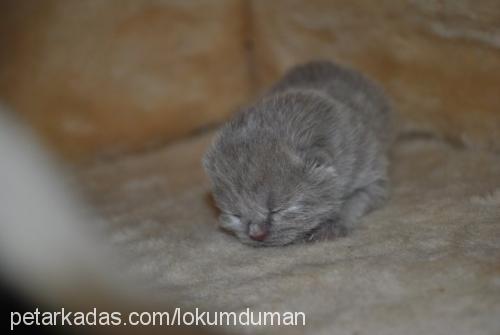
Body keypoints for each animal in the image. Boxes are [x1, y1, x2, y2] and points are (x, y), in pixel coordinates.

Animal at [201, 61, 392, 248]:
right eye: (236, 214)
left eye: (277, 209)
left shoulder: (371, 172)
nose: (256, 234)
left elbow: (356, 199)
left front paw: (332, 224)